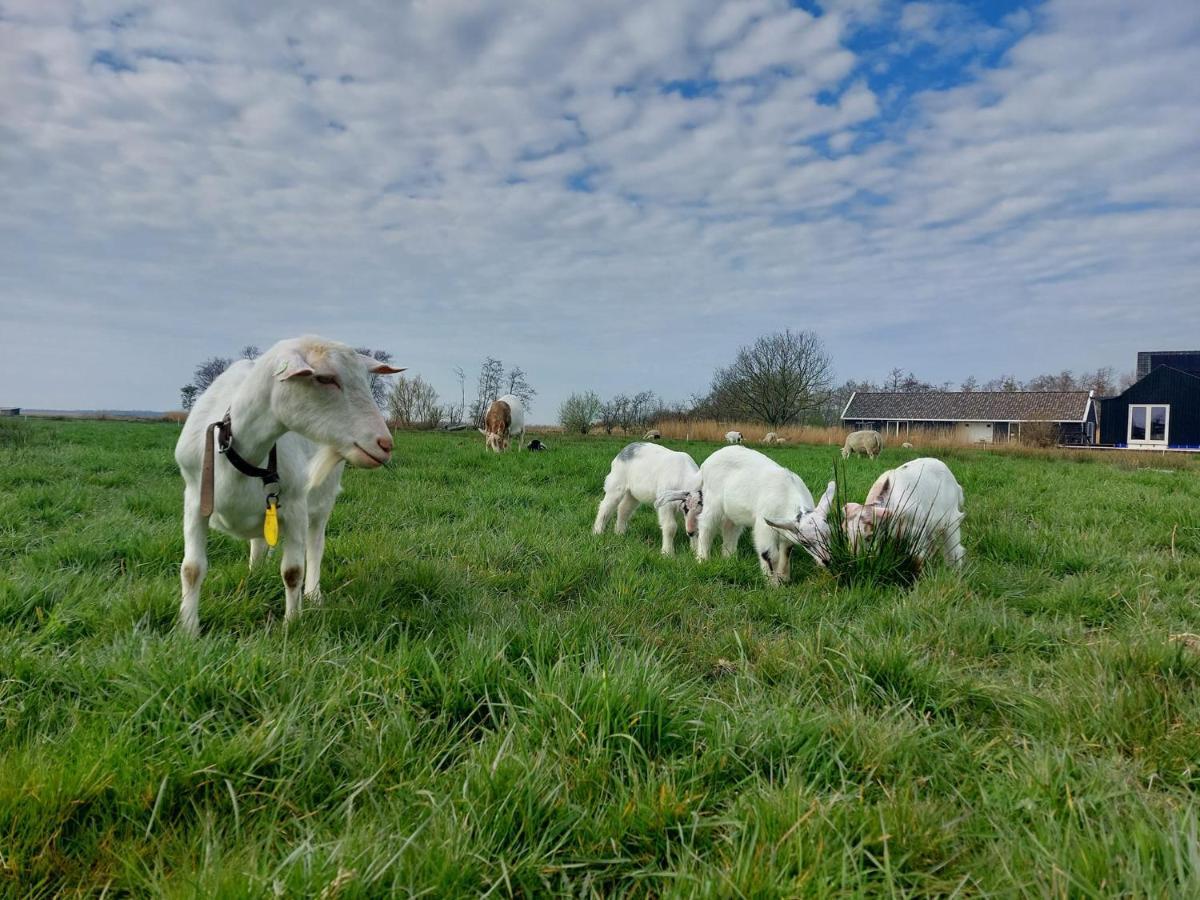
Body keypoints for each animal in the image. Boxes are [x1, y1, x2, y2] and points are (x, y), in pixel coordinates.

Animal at [175, 336, 403, 638]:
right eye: (325, 378)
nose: (385, 444)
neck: (243, 456)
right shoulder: (195, 500)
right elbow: (191, 569)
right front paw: (188, 630)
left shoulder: (295, 506)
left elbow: (293, 571)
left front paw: (291, 625)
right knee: (259, 542)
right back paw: (254, 576)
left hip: (321, 501)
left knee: (315, 544)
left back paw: (313, 594)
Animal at [686, 448, 816, 588]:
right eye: (806, 541)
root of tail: (705, 464)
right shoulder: (764, 526)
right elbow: (770, 554)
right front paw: (773, 585)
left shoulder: (785, 532)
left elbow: (786, 551)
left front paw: (784, 578)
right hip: (712, 500)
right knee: (706, 526)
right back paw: (702, 559)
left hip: (732, 510)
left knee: (730, 529)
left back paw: (729, 560)